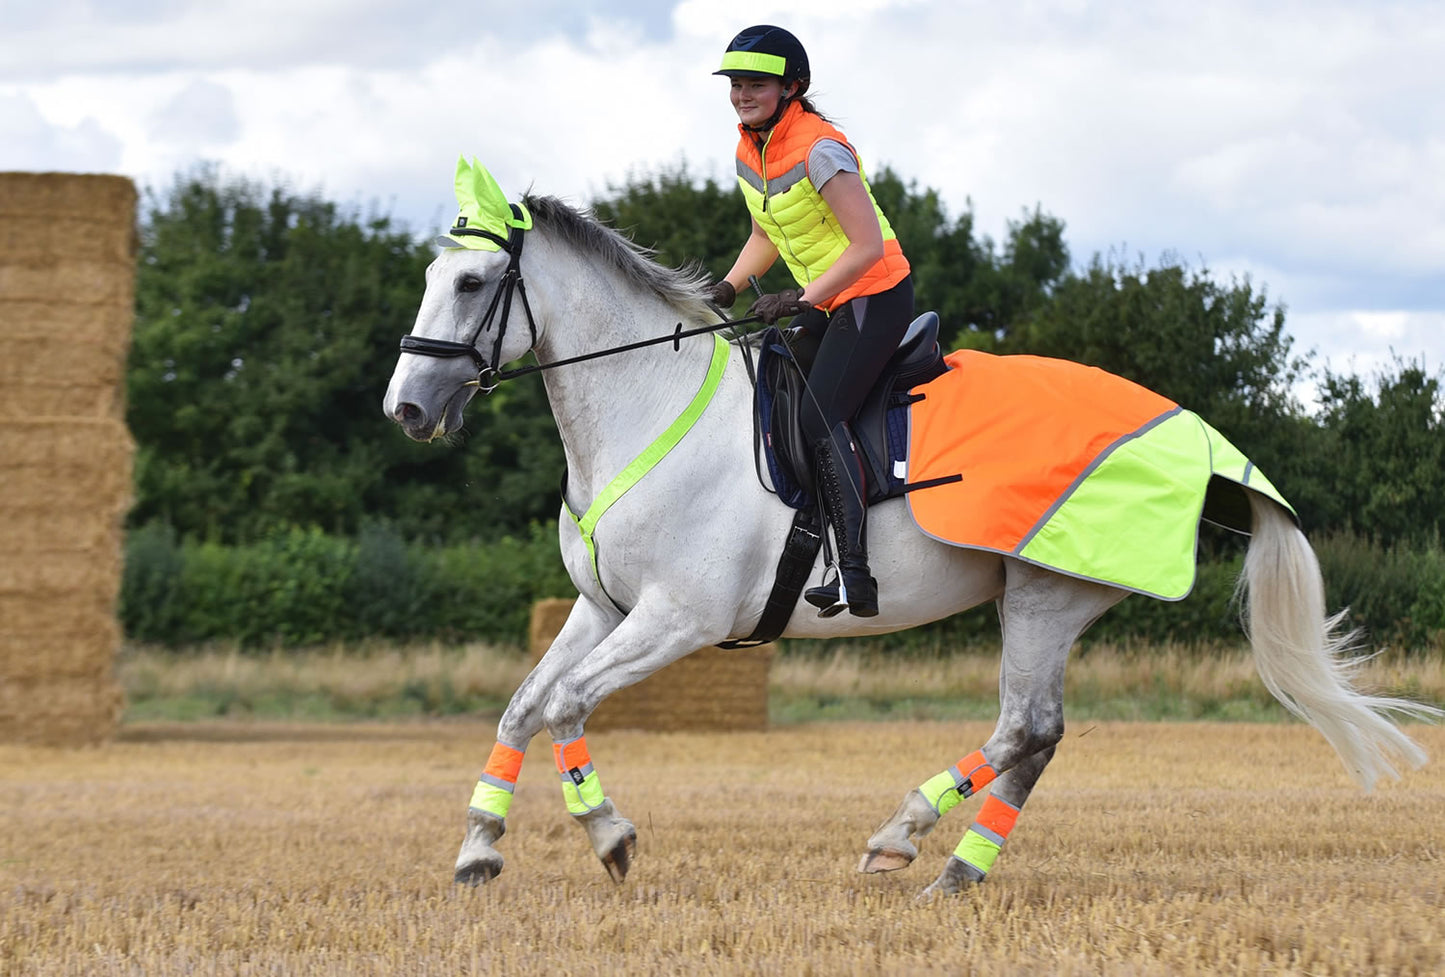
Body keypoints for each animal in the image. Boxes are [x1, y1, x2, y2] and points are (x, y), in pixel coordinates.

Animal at [381, 186, 1433, 896]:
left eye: (471, 281)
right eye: (431, 277)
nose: (407, 409)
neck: (644, 406)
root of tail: (1191, 432)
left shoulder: (678, 617)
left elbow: (565, 704)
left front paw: (608, 836)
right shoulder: (602, 607)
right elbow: (525, 704)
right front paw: (478, 848)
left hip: (1046, 592)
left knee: (1022, 727)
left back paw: (900, 835)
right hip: (1040, 600)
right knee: (1037, 735)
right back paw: (955, 872)